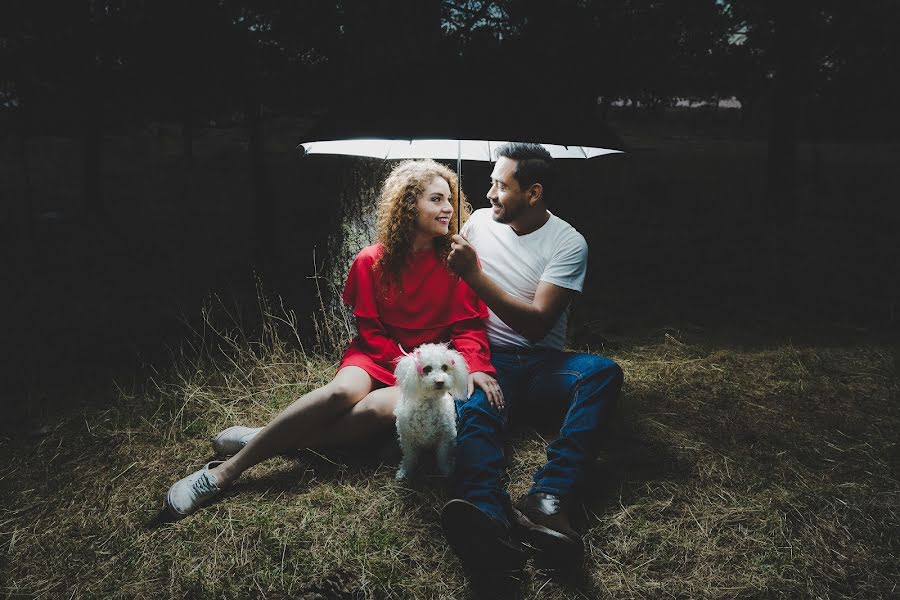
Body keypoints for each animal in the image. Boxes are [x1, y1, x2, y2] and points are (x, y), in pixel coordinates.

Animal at [394, 344, 472, 480]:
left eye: (445, 367)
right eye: (427, 369)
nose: (440, 382)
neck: (428, 404)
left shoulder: (444, 438)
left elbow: (442, 457)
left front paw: (446, 471)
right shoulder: (407, 438)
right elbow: (409, 457)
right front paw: (404, 471)